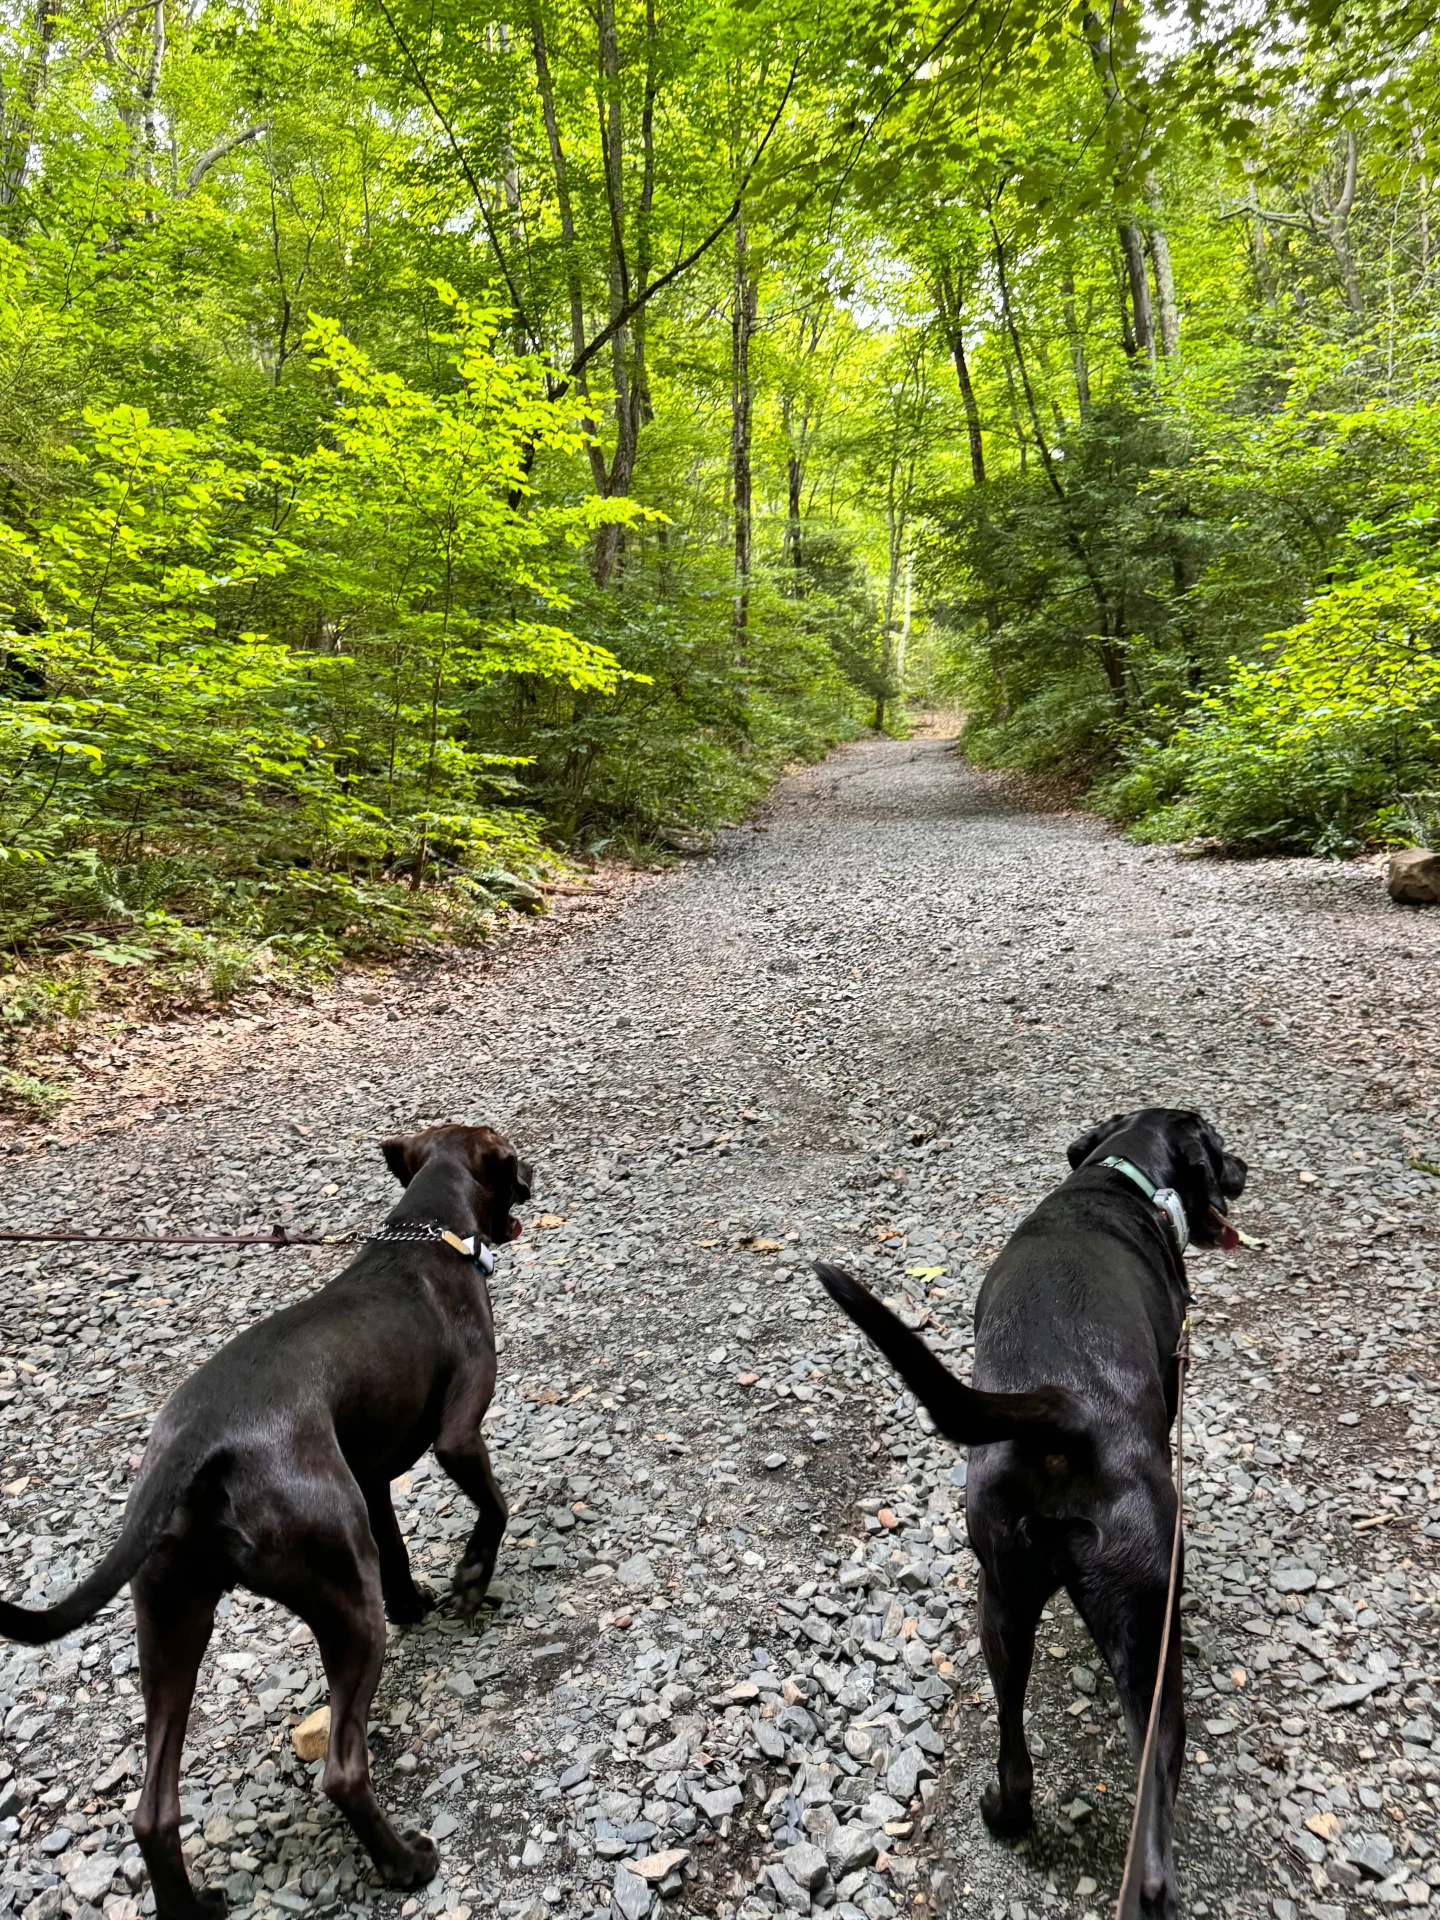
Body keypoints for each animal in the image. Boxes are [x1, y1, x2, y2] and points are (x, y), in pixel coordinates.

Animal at [0, 1121, 529, 1920]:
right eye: (513, 1167)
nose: (532, 1184)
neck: (425, 1233)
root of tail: (196, 1441)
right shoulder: (459, 1435)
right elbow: (493, 1506)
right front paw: (471, 1576)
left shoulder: (369, 1478)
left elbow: (397, 1550)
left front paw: (414, 1602)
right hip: (341, 1603)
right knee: (342, 1770)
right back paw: (405, 1864)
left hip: (172, 1620)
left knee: (152, 1811)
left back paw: (192, 1907)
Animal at [821, 1113, 1251, 1920]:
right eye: (1215, 1144)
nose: (1243, 1167)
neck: (1117, 1180)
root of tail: (1074, 1416)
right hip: (1144, 1625)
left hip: (1007, 1602)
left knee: (1020, 1747)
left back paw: (1007, 1815)